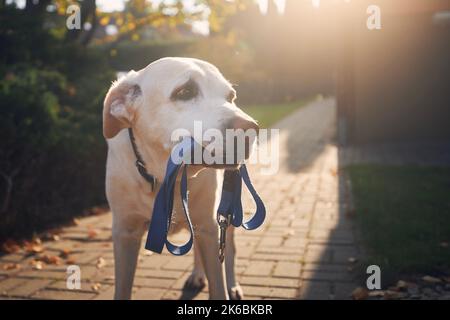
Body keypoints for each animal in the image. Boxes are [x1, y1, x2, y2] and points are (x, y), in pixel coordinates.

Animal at [102, 56, 256, 298]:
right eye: (185, 92)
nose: (252, 129)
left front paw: (223, 285)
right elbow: (123, 288)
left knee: (230, 251)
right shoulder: (125, 232)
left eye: (231, 97)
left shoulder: (210, 227)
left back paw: (232, 284)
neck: (166, 177)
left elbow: (218, 283)